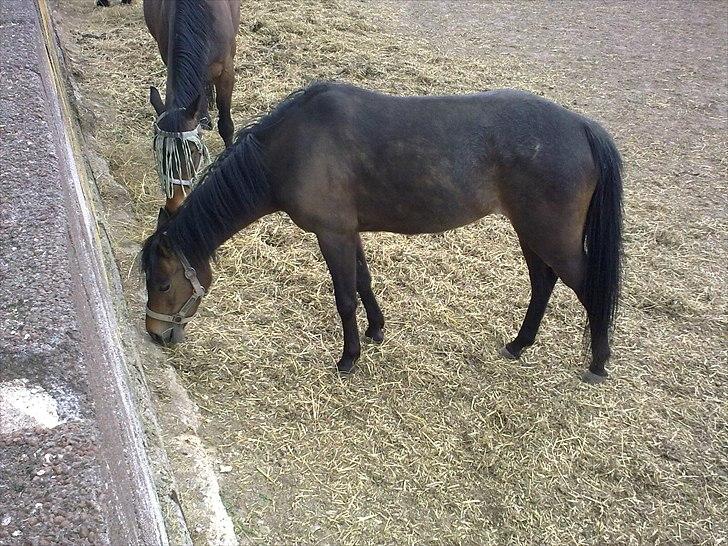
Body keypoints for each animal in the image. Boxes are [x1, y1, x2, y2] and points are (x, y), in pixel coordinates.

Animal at [144, 82, 624, 382]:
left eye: (163, 283)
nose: (154, 334)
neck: (293, 147)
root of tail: (583, 128)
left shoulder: (332, 234)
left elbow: (344, 296)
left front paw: (348, 358)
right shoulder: (347, 231)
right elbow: (363, 280)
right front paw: (376, 330)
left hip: (551, 236)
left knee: (587, 287)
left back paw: (598, 363)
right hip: (532, 233)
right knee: (543, 283)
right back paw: (519, 344)